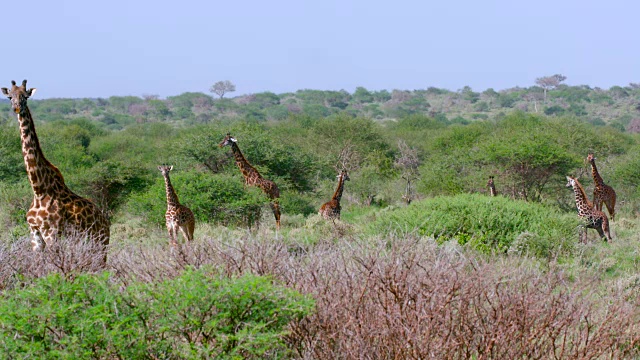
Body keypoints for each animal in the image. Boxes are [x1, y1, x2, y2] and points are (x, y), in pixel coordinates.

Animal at [1, 80, 110, 256]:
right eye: (10, 96)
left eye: (25, 96)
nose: (16, 108)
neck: (38, 189)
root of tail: (106, 222)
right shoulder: (35, 232)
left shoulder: (51, 232)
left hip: (101, 242)